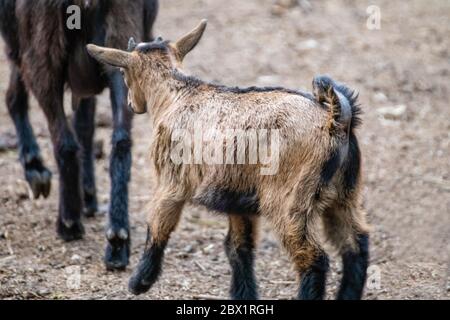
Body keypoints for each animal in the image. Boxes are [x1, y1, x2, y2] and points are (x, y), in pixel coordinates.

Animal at [0, 0, 158, 270]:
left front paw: (35, 168)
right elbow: (85, 121)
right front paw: (89, 195)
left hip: (41, 49)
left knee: (62, 140)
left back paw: (69, 222)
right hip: (122, 38)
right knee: (121, 140)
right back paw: (117, 239)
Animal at [87, 20, 370, 300]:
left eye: (124, 73)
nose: (131, 104)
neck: (177, 94)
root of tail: (335, 120)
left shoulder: (171, 183)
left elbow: (158, 226)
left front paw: (139, 282)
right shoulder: (237, 198)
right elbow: (238, 247)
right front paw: (243, 295)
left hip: (289, 200)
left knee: (313, 258)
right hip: (344, 196)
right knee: (356, 245)